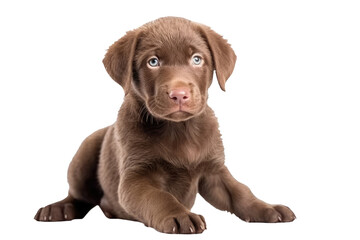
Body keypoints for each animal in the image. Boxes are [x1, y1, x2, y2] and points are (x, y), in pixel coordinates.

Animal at [34, 17, 296, 234]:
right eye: (153, 62)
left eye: (197, 59)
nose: (179, 94)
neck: (179, 129)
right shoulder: (135, 178)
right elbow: (158, 196)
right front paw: (179, 215)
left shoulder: (214, 172)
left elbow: (240, 191)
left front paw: (267, 207)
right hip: (84, 153)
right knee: (77, 195)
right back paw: (57, 209)